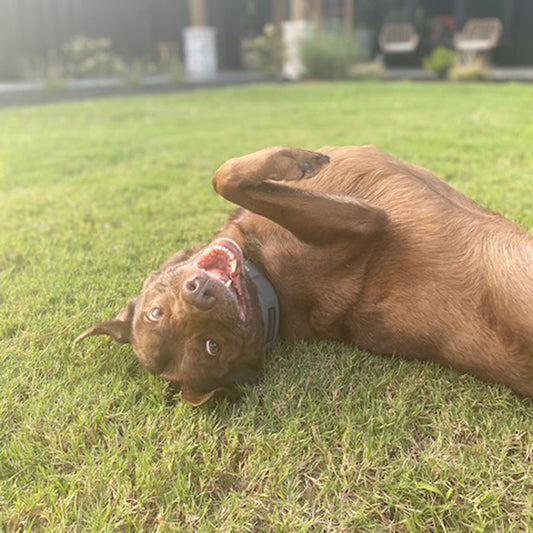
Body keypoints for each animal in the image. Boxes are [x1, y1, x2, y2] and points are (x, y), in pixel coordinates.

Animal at [75, 145, 532, 404]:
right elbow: (226, 177)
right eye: (212, 348)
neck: (269, 287)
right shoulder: (364, 222)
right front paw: (294, 161)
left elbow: (222, 177)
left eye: (155, 312)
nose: (199, 293)